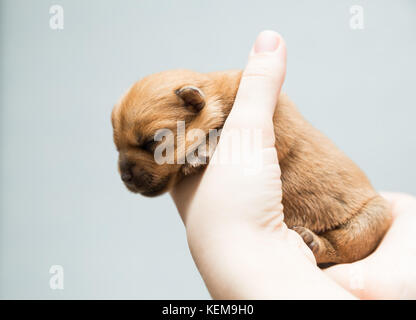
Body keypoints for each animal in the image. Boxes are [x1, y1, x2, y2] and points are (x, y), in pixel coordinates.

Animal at [112, 69, 392, 264]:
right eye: (116, 146)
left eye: (153, 142)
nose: (125, 176)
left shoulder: (276, 118)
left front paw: (202, 149)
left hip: (372, 218)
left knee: (345, 246)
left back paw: (314, 242)